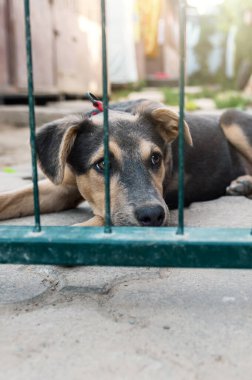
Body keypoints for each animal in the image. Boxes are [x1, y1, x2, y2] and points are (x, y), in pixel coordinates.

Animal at [0, 99, 252, 227]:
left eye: (156, 158)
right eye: (102, 164)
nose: (153, 216)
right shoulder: (63, 186)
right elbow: (12, 197)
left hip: (230, 118)